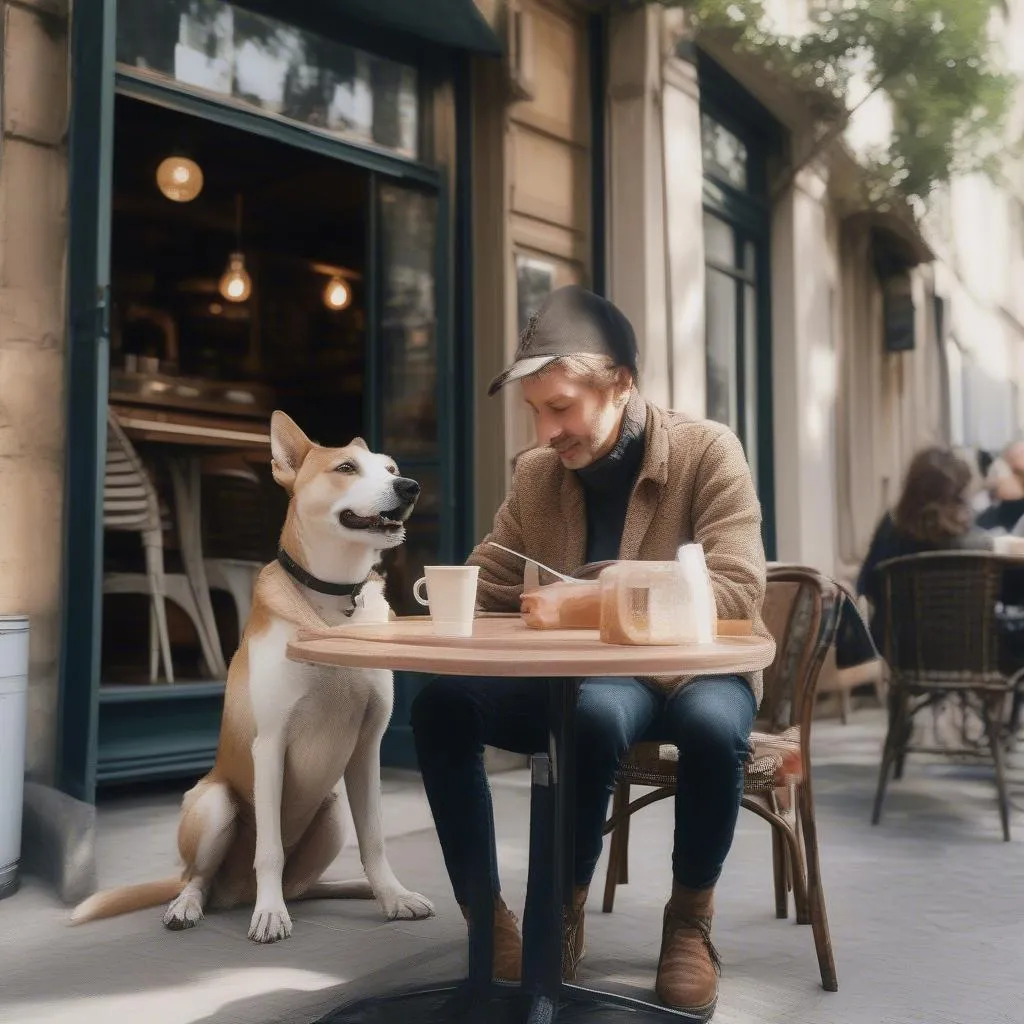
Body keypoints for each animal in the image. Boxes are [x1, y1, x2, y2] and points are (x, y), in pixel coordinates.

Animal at [70, 411, 438, 937]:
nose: (409, 487)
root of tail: (235, 892)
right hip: (213, 805)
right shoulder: (270, 744)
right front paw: (269, 915)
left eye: (391, 469)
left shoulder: (368, 747)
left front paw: (392, 895)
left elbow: (374, 839)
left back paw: (350, 887)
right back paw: (192, 905)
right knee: (200, 878)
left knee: (303, 885)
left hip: (331, 815)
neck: (333, 603)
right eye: (346, 468)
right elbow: (270, 851)